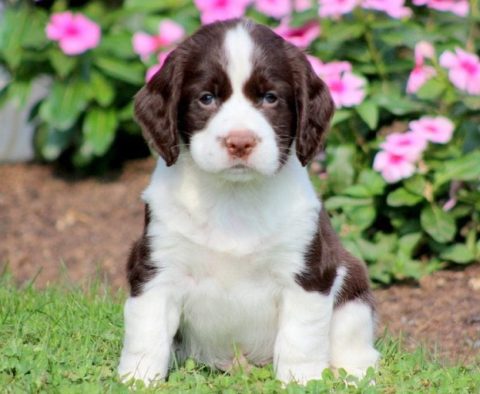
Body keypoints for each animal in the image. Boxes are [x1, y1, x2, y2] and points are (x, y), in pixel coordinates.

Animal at [117, 18, 378, 384]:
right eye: (206, 98)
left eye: (270, 98)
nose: (239, 142)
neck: (233, 196)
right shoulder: (157, 267)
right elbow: (147, 331)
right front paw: (138, 379)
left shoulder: (307, 273)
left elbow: (301, 336)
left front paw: (301, 381)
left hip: (353, 290)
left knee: (356, 342)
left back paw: (352, 374)